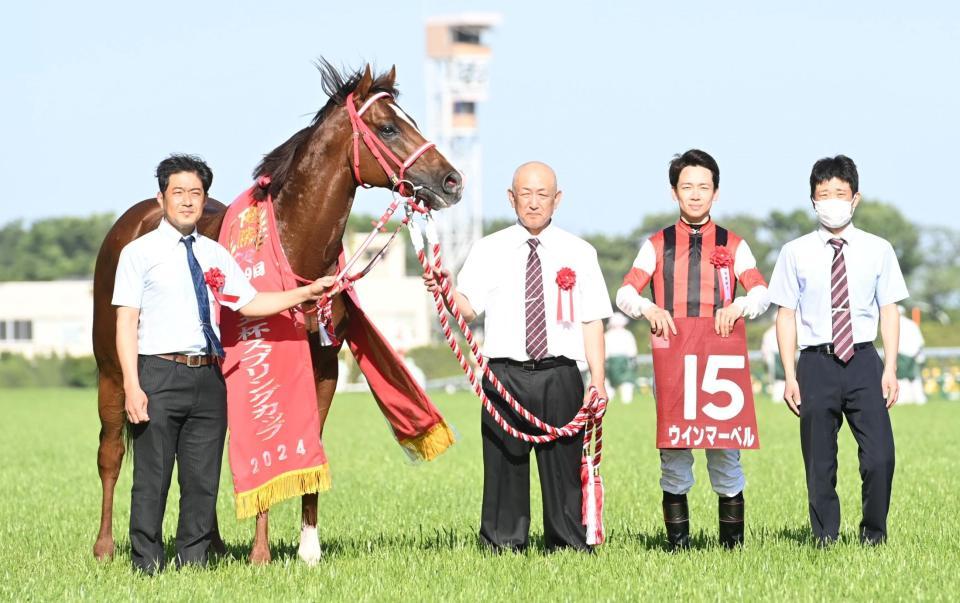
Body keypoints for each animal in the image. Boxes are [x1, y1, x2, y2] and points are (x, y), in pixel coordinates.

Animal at [92, 61, 464, 568]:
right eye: (388, 127)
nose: (452, 181)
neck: (293, 244)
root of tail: (132, 220)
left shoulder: (323, 365)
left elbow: (306, 447)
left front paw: (309, 549)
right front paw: (261, 553)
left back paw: (212, 544)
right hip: (113, 371)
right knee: (112, 453)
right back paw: (106, 546)